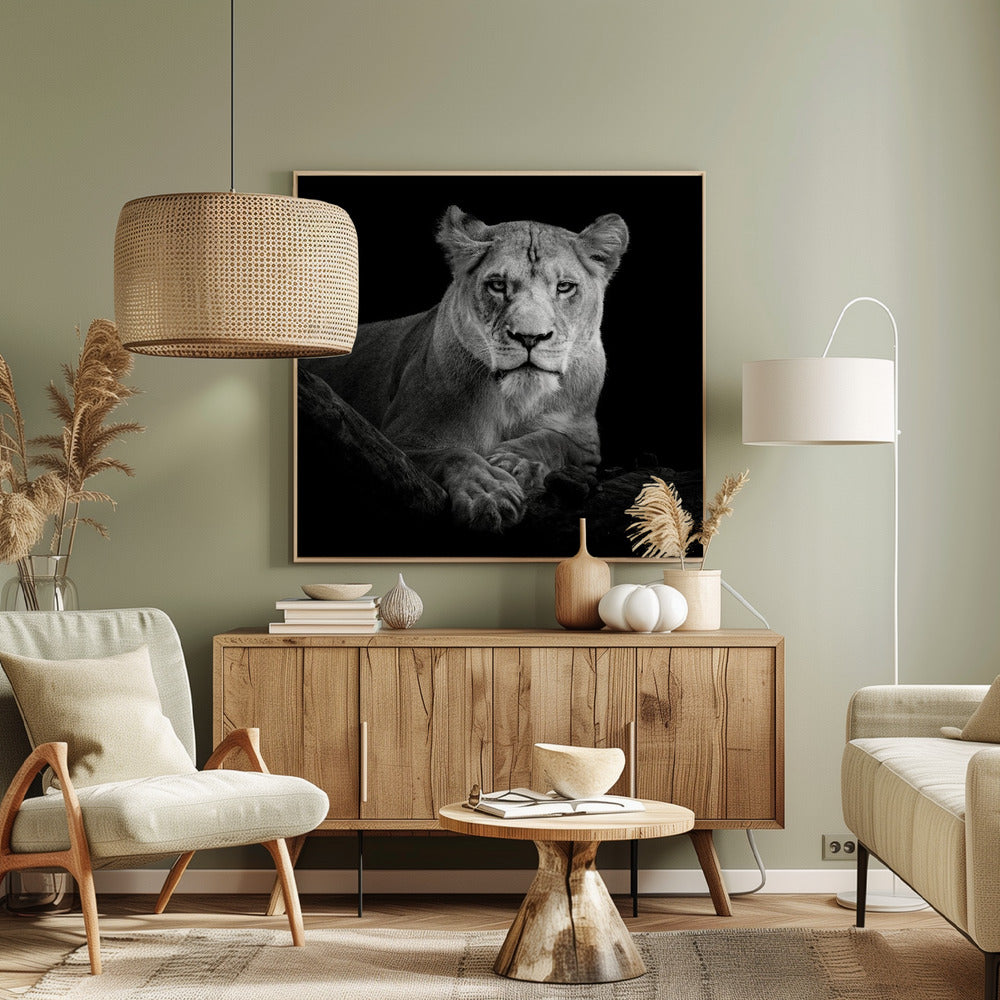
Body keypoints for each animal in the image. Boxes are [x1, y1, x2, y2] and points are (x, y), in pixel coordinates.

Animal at [301, 205, 629, 532]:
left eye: (565, 287)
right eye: (497, 285)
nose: (529, 337)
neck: (515, 401)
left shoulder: (585, 443)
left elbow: (553, 440)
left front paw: (516, 463)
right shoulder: (397, 443)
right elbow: (455, 454)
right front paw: (489, 493)